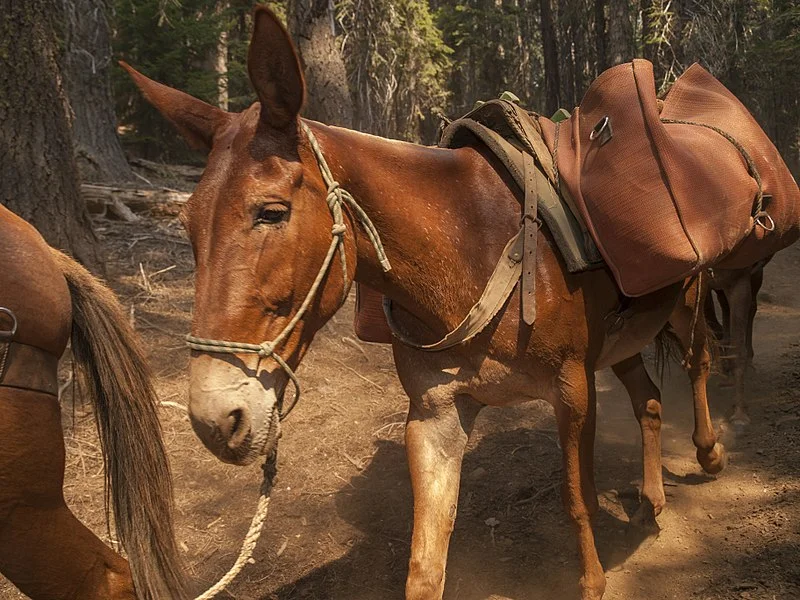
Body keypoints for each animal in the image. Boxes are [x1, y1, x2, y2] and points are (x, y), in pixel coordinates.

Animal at [123, 8, 728, 598]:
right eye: (187, 226)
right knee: (649, 400)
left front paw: (594, 579)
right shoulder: (435, 415)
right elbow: (425, 561)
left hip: (687, 304)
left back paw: (708, 452)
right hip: (623, 339)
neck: (473, 242)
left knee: (699, 363)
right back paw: (651, 500)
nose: (213, 420)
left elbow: (578, 500)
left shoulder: (573, 391)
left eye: (271, 212)